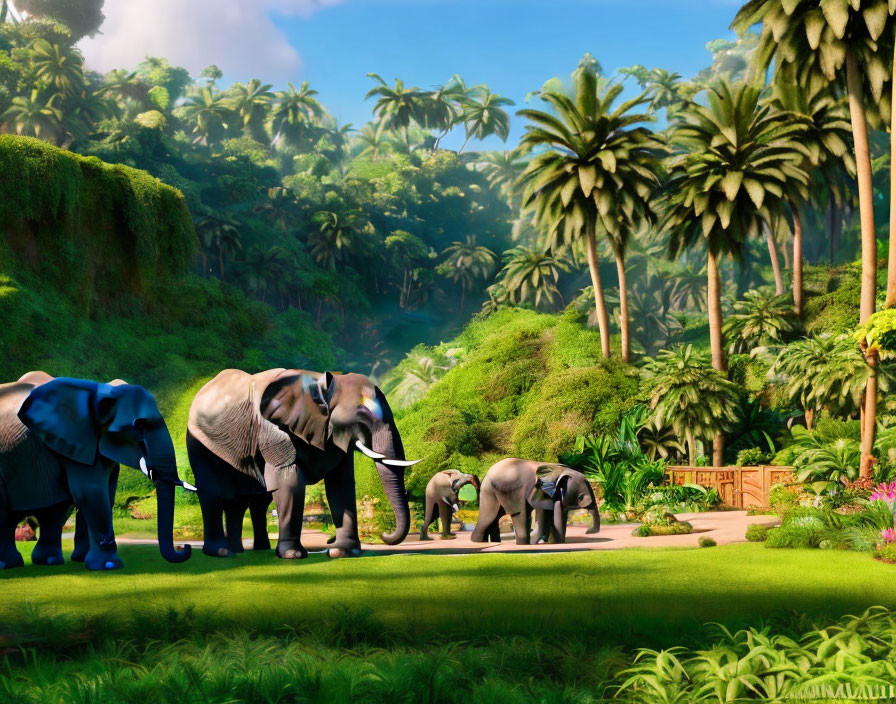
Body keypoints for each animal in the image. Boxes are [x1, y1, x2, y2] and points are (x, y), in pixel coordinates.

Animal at [187, 368, 418, 560]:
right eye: (362, 414)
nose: (384, 534)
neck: (319, 384)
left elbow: (340, 486)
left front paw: (343, 553)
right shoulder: (274, 430)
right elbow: (289, 481)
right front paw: (293, 555)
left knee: (244, 501)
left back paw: (245, 550)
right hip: (200, 443)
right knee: (213, 493)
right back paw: (221, 552)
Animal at [468, 460, 600, 548]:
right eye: (580, 497)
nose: (587, 531)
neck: (557, 470)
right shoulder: (536, 490)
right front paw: (531, 543)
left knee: (495, 516)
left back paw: (494, 542)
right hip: (495, 489)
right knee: (495, 515)